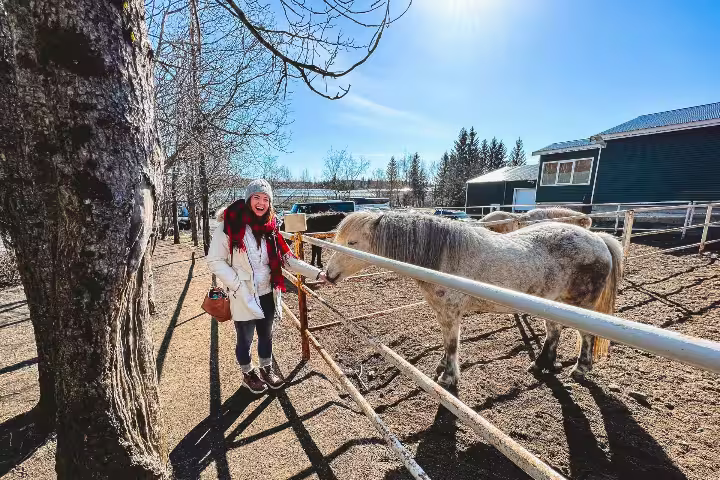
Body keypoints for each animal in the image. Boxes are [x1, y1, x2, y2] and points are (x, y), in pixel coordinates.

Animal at [324, 211, 622, 389]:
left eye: (352, 243)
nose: (328, 275)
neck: (442, 258)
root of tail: (597, 239)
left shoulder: (450, 313)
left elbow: (452, 344)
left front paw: (448, 378)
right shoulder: (443, 314)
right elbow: (447, 344)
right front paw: (442, 367)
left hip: (581, 307)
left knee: (585, 336)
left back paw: (580, 369)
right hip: (553, 303)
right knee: (554, 331)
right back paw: (541, 364)